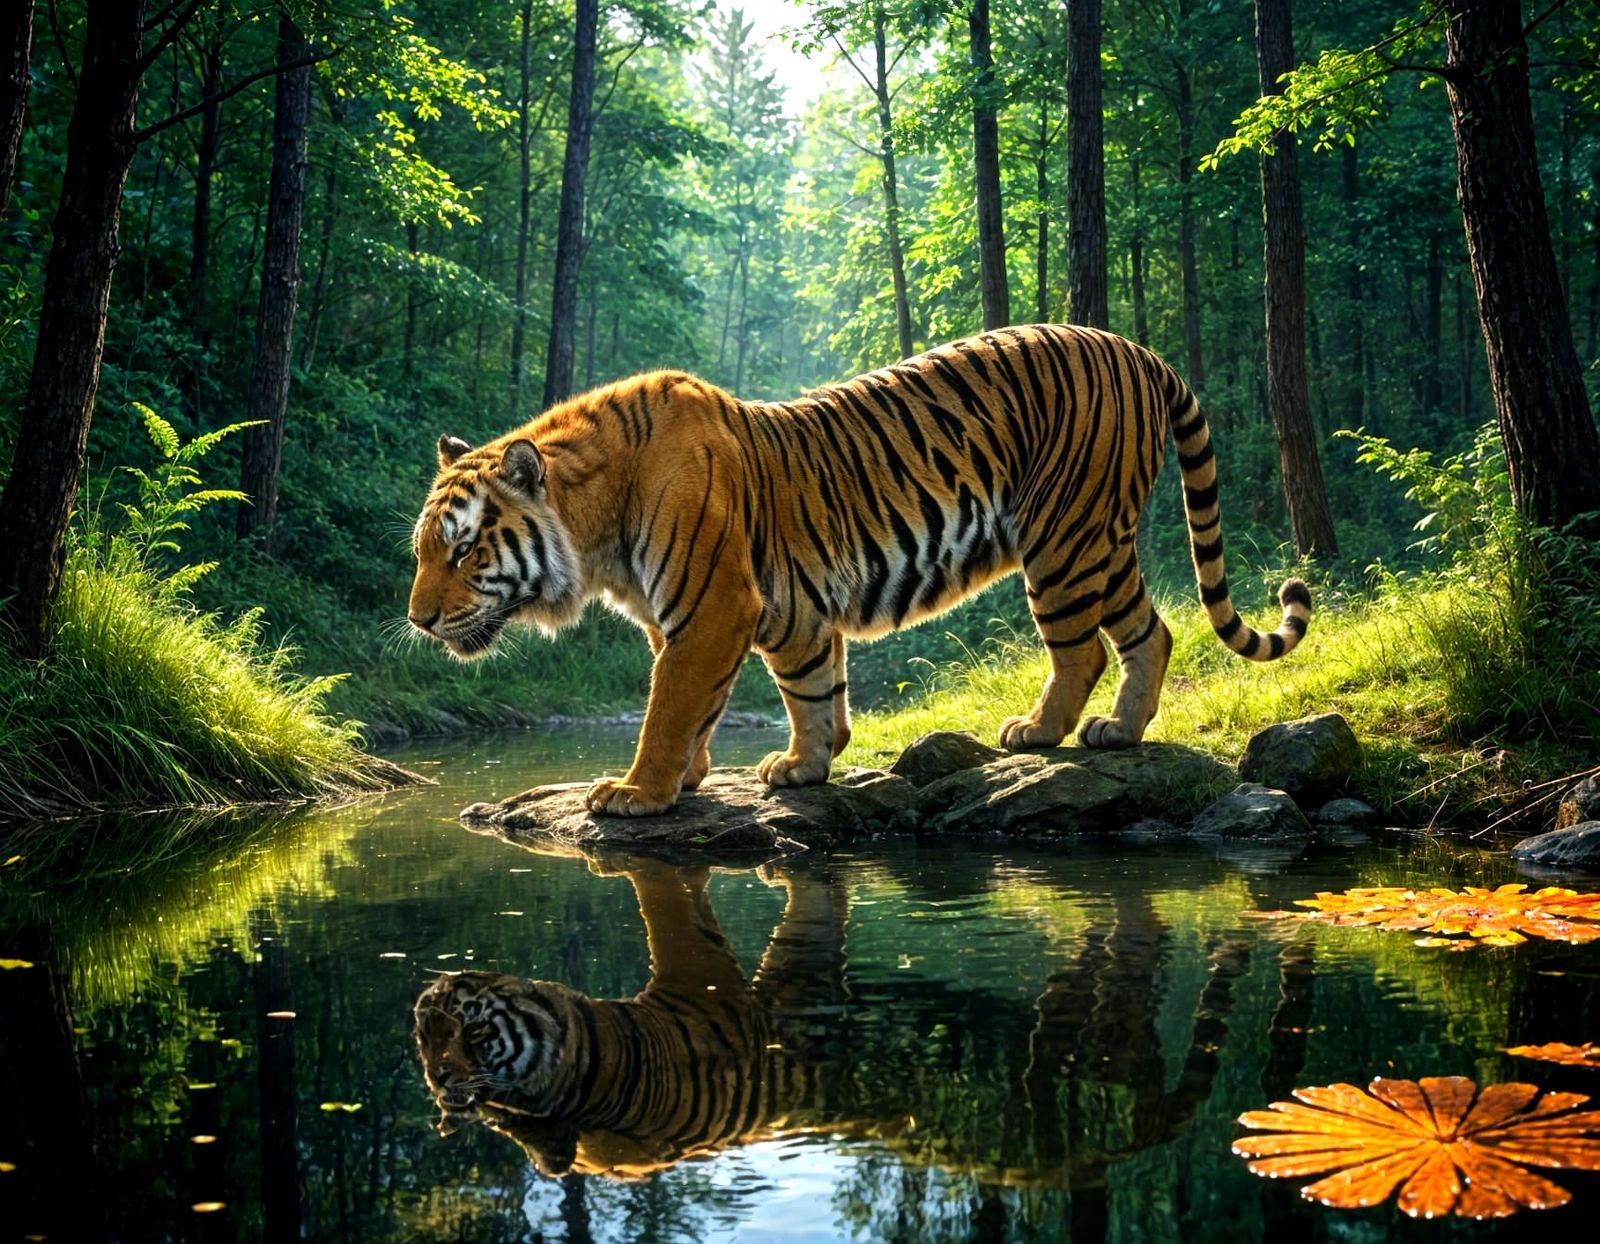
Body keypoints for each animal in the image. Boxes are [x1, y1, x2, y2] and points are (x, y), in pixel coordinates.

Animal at [407, 324, 1311, 816]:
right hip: (1099, 543)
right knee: (1150, 632)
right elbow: (805, 693)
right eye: (422, 550)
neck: (595, 533)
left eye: (463, 548)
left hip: (1065, 537)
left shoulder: (713, 607)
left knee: (1082, 646)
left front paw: (637, 793)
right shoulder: (769, 613)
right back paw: (1118, 731)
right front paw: (796, 768)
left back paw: (1041, 731)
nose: (418, 619)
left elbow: (671, 706)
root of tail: (1135, 346)